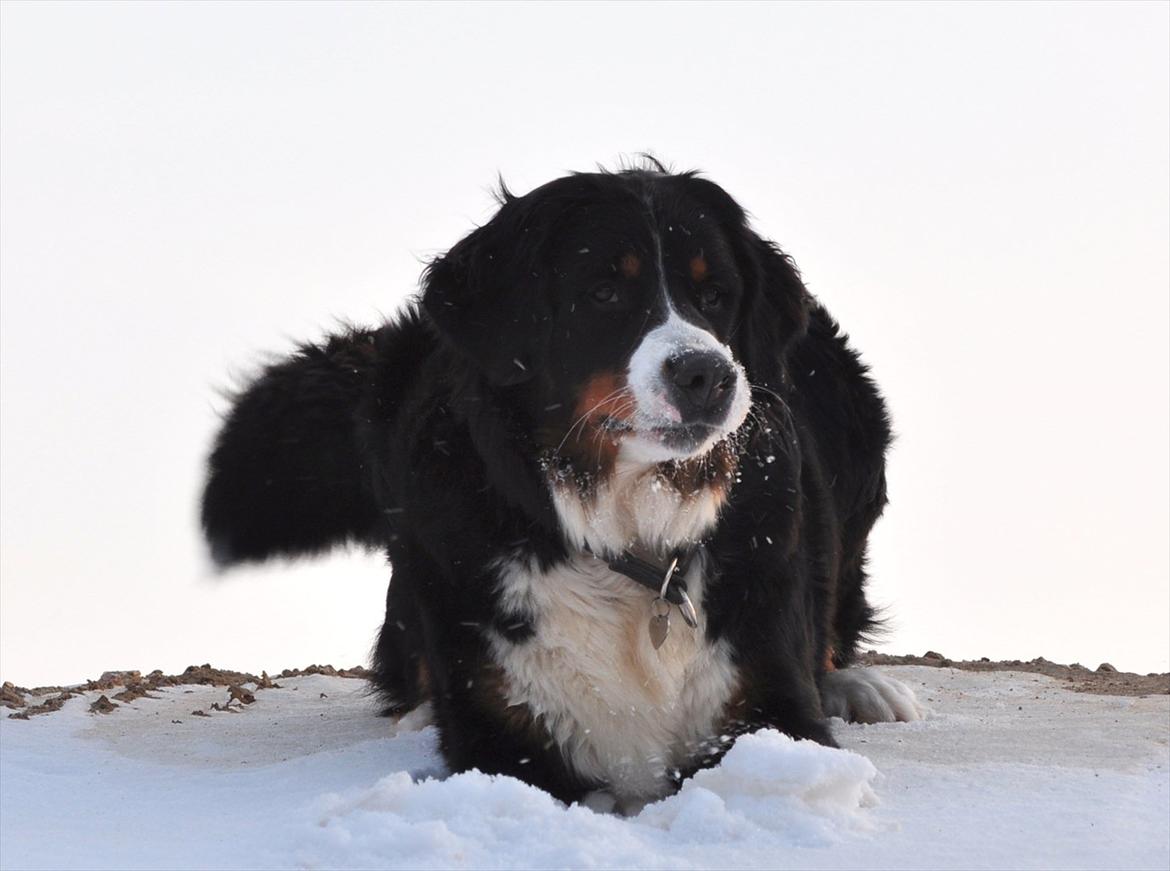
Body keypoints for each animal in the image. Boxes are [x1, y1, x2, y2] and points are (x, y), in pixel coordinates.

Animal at [203, 165, 921, 810]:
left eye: (715, 294)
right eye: (603, 292)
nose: (707, 374)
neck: (631, 538)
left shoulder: (768, 706)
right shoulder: (509, 741)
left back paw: (862, 686)